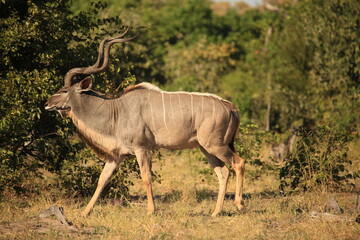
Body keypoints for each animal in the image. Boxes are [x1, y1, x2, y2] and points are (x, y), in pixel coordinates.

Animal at [45, 29, 245, 217]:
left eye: (64, 90)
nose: (47, 103)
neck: (115, 111)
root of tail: (231, 107)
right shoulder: (117, 156)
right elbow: (102, 179)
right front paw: (85, 212)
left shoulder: (141, 148)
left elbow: (146, 177)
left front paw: (150, 211)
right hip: (206, 148)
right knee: (223, 172)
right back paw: (216, 212)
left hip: (216, 146)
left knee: (238, 163)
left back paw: (239, 204)